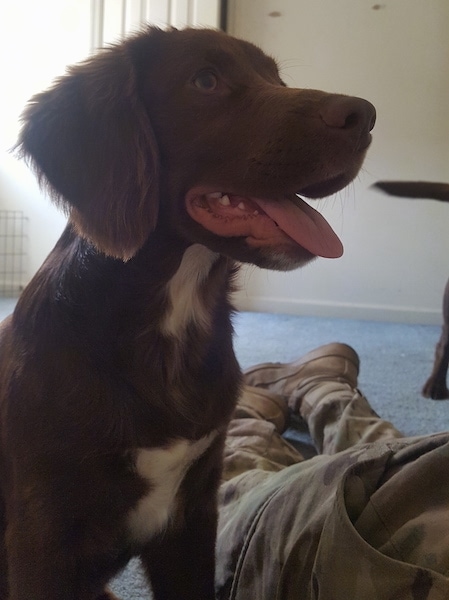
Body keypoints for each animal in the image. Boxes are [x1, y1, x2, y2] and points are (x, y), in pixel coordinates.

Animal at [0, 24, 374, 600]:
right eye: (205, 81)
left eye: (276, 78)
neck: (171, 322)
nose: (366, 115)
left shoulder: (194, 516)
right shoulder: (41, 538)